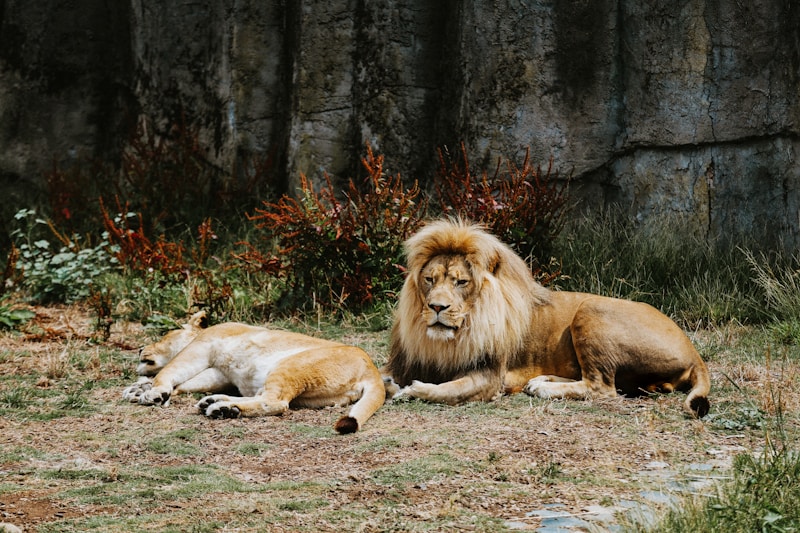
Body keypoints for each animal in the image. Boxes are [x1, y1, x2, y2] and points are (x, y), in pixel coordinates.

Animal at [122, 311, 385, 433]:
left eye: (164, 334)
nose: (140, 349)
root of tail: (373, 370)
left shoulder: (200, 349)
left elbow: (168, 372)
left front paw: (153, 393)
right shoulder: (218, 372)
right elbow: (182, 383)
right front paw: (137, 389)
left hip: (290, 366)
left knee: (275, 403)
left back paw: (221, 409)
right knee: (263, 398)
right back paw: (217, 403)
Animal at [384, 219, 711, 418]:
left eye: (461, 282)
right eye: (429, 279)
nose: (437, 307)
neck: (450, 339)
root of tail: (694, 352)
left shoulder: (490, 376)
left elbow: (447, 391)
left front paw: (412, 390)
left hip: (591, 310)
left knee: (601, 387)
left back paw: (543, 388)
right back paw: (540, 380)